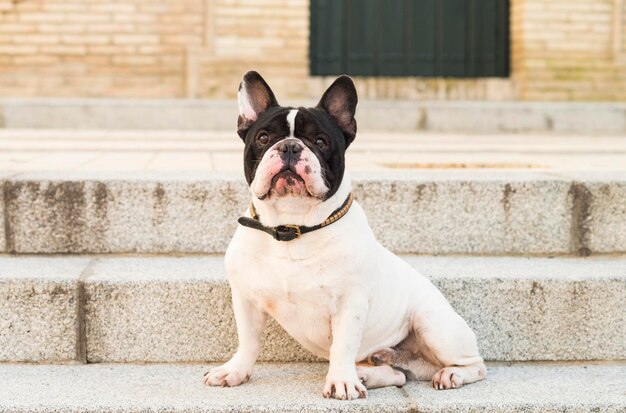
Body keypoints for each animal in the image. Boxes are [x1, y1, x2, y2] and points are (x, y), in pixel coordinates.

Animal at [202, 71, 486, 400]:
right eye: (263, 138)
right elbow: (248, 340)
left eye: (320, 141)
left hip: (434, 324)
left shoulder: (350, 304)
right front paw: (235, 371)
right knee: (397, 375)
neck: (292, 228)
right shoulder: (246, 299)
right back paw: (368, 372)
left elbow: (343, 345)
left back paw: (450, 374)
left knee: (476, 366)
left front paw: (341, 381)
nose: (290, 146)